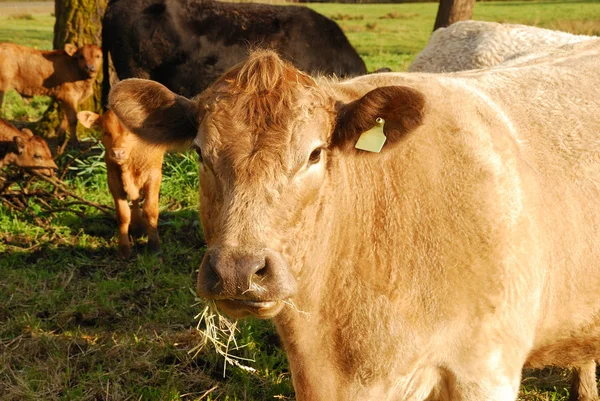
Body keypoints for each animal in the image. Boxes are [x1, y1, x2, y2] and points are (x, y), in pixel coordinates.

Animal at [78, 110, 166, 260]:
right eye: (106, 132)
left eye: (130, 131)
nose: (118, 152)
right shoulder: (113, 179)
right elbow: (123, 214)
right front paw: (124, 249)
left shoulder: (154, 175)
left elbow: (151, 210)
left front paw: (154, 246)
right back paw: (138, 226)